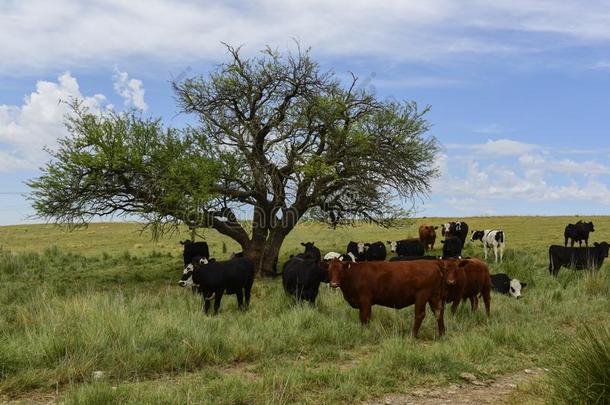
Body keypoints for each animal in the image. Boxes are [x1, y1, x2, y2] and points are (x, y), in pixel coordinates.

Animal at [326, 258, 454, 338]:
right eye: (329, 270)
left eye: (341, 270)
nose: (333, 284)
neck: (354, 275)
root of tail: (433, 263)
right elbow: (361, 318)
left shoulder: (365, 300)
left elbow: (365, 317)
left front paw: (365, 333)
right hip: (434, 297)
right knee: (438, 312)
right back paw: (442, 334)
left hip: (422, 296)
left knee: (420, 315)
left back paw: (412, 336)